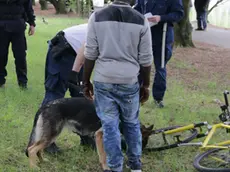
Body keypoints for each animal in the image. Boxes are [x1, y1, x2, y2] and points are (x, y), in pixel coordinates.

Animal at [25, 97, 154, 170]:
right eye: (141, 143)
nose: (141, 156)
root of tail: (44, 106)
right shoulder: (99, 136)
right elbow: (103, 155)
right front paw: (106, 167)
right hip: (52, 135)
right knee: (31, 149)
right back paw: (33, 167)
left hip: (48, 136)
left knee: (38, 149)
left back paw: (42, 161)